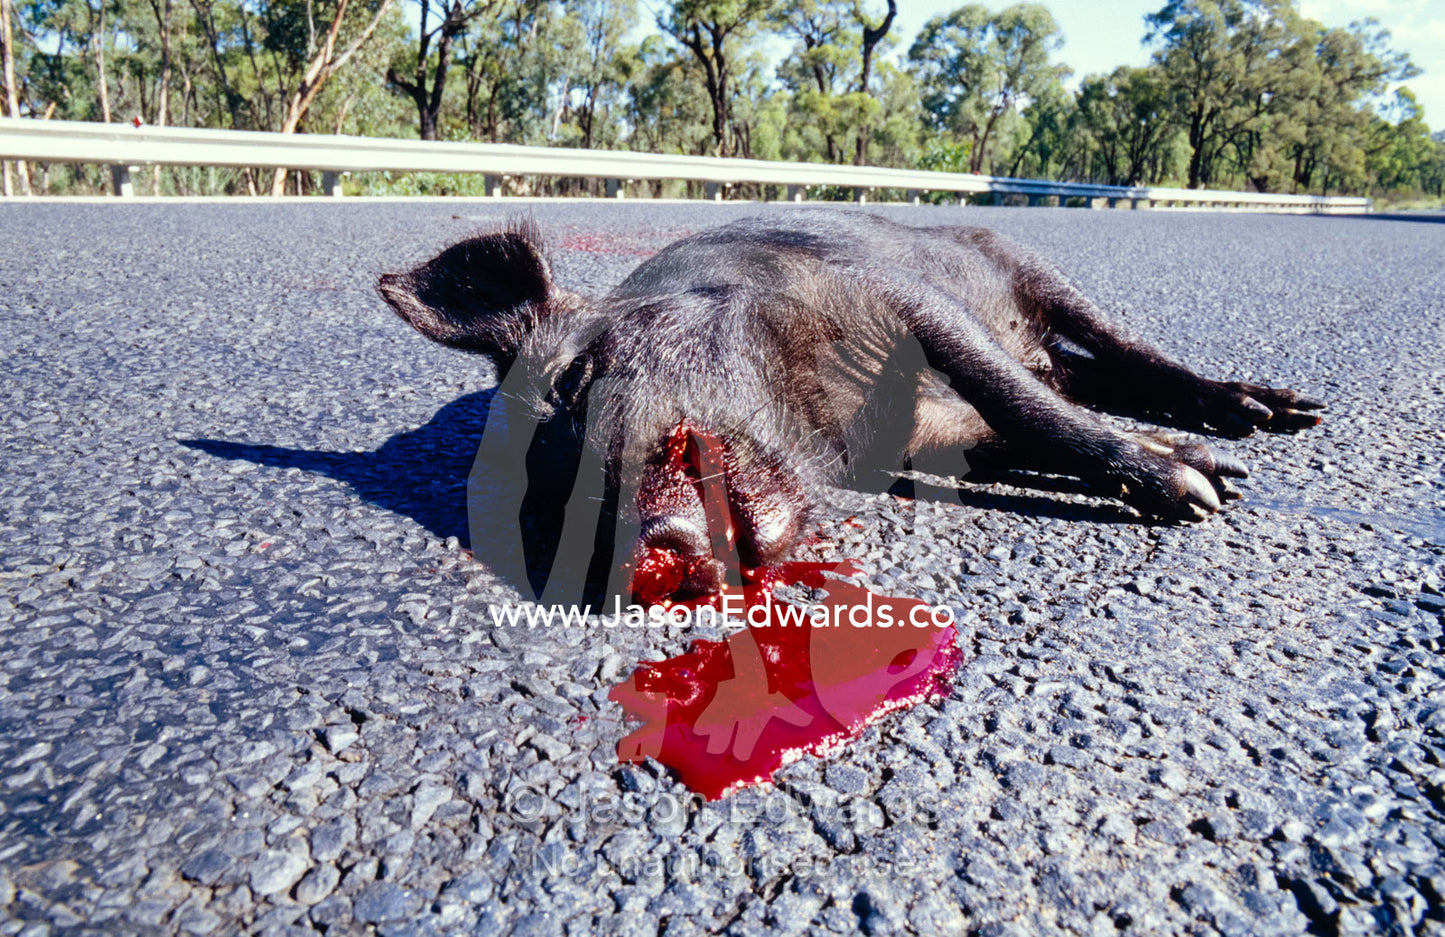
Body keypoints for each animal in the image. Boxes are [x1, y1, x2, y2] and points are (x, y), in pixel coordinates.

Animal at [377, 212, 1322, 603]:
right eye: (546, 510)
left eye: (571, 383)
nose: (652, 557)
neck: (823, 429)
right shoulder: (939, 440)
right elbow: (1019, 425)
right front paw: (1196, 476)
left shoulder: (898, 300)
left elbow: (1020, 402)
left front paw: (1202, 494)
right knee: (1084, 376)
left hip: (1031, 269)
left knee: (1121, 353)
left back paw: (1274, 418)